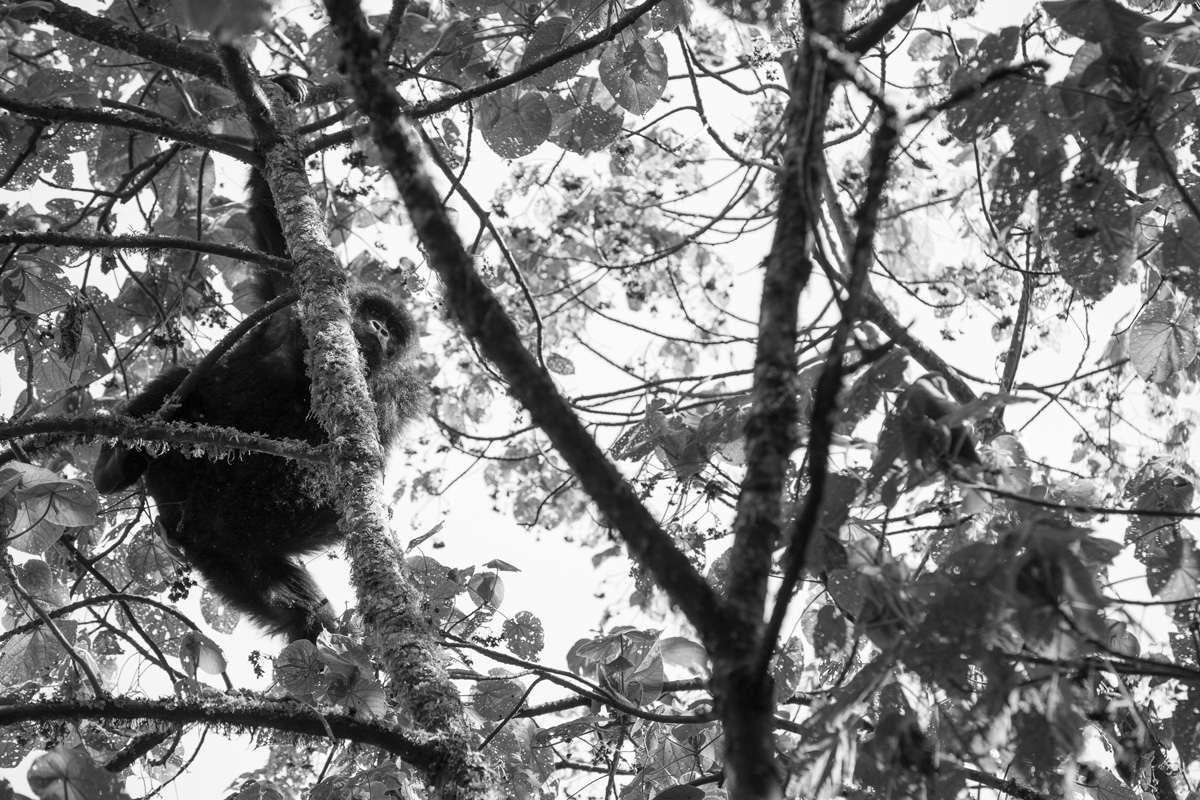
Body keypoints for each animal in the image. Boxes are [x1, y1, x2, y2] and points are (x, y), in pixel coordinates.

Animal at [93, 170, 427, 642]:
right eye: (375, 315)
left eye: (393, 332)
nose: (379, 329)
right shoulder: (292, 298)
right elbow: (274, 223)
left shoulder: (398, 391)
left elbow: (364, 452)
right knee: (181, 383)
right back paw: (114, 466)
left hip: (233, 552)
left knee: (295, 606)